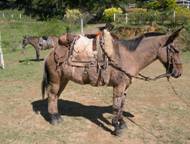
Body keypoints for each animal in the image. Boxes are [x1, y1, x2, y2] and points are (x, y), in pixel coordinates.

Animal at [41, 27, 183, 136]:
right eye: (175, 50)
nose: (179, 73)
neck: (128, 57)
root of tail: (51, 53)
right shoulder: (118, 86)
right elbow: (116, 106)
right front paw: (117, 128)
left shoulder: (125, 87)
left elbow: (121, 105)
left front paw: (122, 123)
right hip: (56, 80)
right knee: (52, 95)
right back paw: (54, 119)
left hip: (63, 80)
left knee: (56, 96)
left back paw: (57, 116)